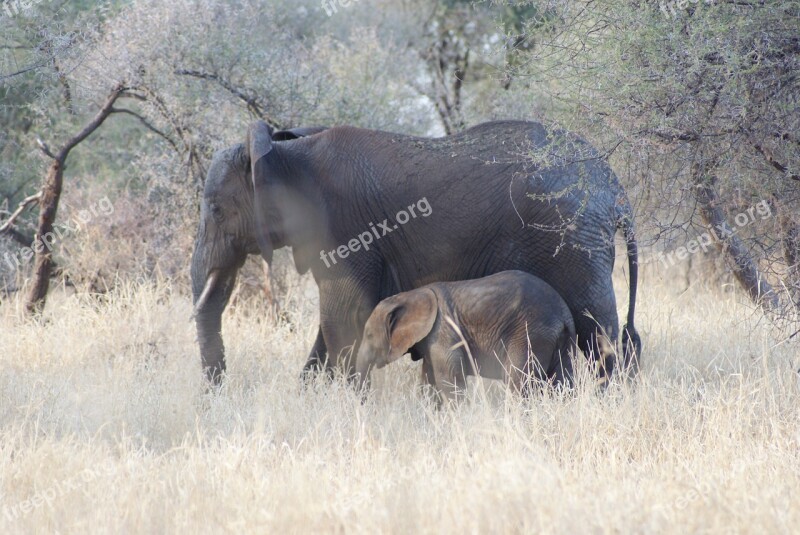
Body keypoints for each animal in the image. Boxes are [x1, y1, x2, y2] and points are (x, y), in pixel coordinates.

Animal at [191, 120, 640, 386]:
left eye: (215, 209)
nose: (218, 390)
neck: (285, 152)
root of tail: (615, 188)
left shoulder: (346, 232)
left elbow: (342, 320)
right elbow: (334, 326)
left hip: (576, 240)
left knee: (598, 330)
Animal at [356, 270, 576, 400]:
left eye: (369, 335)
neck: (410, 295)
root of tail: (563, 315)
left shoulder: (443, 333)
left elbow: (449, 382)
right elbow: (429, 381)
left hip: (529, 334)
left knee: (518, 382)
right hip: (560, 341)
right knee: (562, 382)